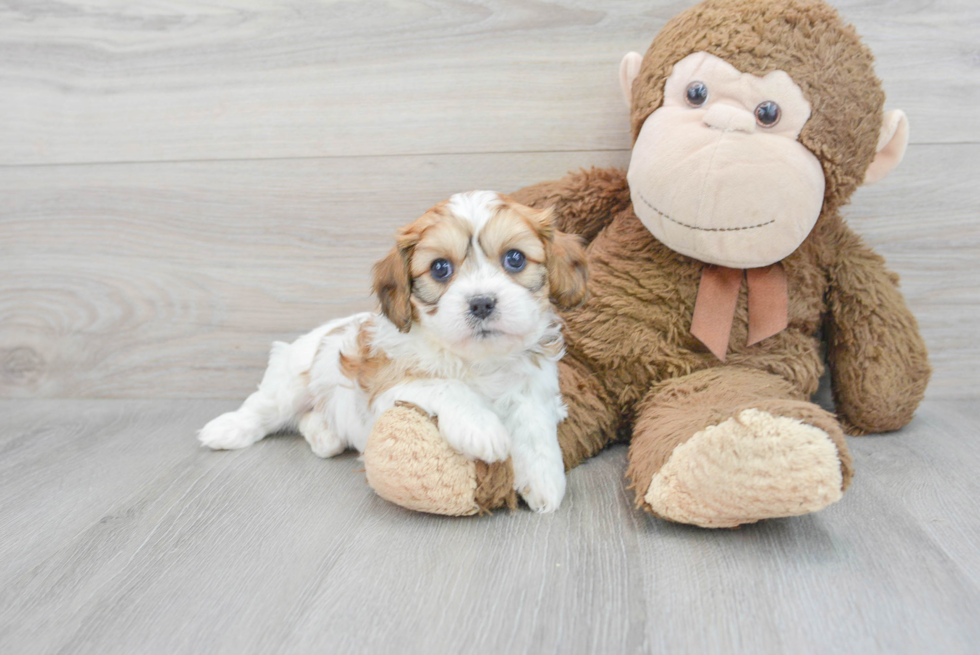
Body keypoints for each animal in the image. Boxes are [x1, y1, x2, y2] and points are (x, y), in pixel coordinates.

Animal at [195, 190, 584, 512]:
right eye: (440, 268)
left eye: (515, 259)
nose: (482, 302)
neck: (477, 359)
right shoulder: (387, 387)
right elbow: (445, 385)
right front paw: (482, 428)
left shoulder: (535, 386)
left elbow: (533, 423)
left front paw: (545, 480)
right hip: (291, 381)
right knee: (264, 409)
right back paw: (226, 430)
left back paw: (324, 434)